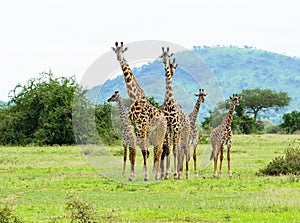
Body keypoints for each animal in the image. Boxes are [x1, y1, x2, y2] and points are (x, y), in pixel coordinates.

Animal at [110, 42, 168, 181]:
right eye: (115, 51)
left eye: (123, 51)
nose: (119, 58)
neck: (134, 98)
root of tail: (165, 120)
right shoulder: (134, 128)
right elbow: (135, 151)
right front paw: (132, 176)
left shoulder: (142, 128)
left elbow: (143, 151)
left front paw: (146, 176)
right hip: (153, 134)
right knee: (156, 151)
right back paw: (156, 173)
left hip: (160, 133)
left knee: (159, 150)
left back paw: (157, 175)